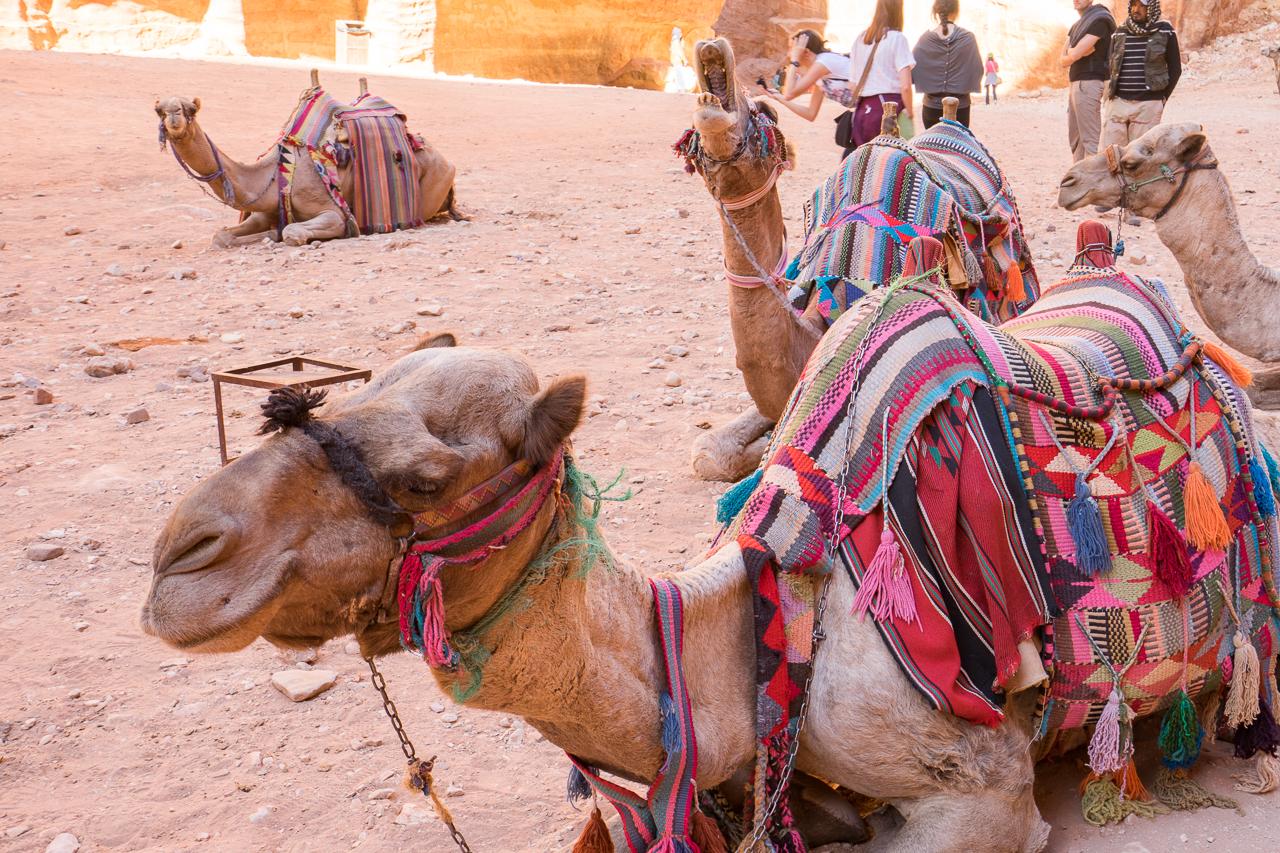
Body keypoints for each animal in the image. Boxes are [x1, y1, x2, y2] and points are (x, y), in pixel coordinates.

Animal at [155, 80, 458, 248]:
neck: (276, 174)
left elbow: (292, 231)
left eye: (191, 110)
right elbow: (221, 236)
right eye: (159, 110)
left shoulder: (334, 213)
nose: (174, 116)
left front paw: (276, 236)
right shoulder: (266, 210)